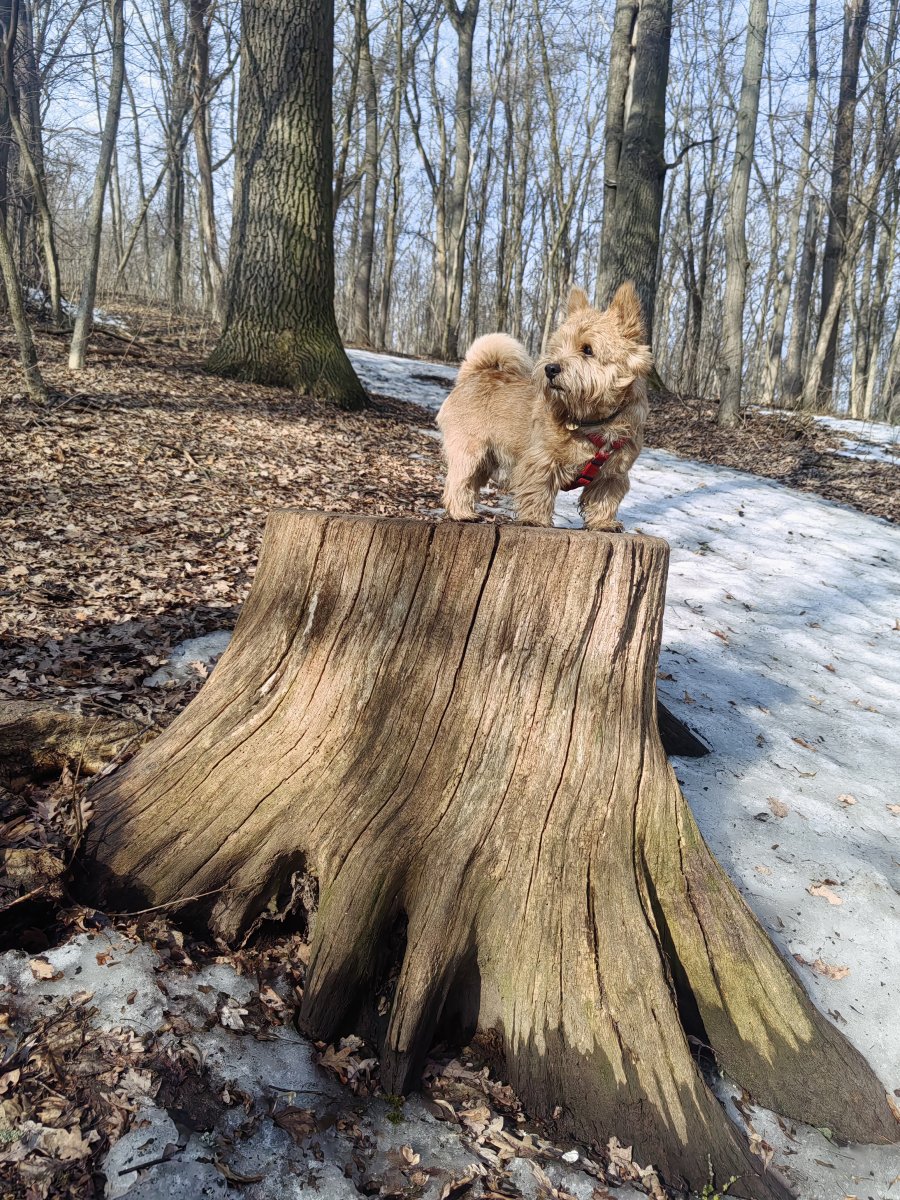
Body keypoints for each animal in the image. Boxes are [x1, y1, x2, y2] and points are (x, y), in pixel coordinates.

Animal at [436, 282, 652, 531]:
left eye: (587, 349)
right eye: (557, 347)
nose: (550, 368)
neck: (592, 421)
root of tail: (474, 374)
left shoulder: (612, 476)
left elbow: (604, 499)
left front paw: (603, 523)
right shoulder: (541, 461)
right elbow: (538, 492)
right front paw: (535, 520)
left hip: (486, 460)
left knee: (470, 484)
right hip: (469, 451)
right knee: (458, 482)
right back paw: (461, 513)